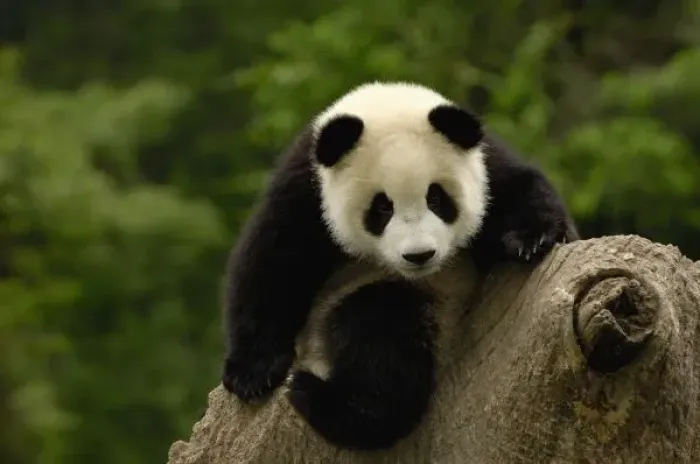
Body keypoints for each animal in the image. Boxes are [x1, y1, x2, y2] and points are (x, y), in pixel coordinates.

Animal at [221, 81, 578, 451]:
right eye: (382, 207)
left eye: (436, 198)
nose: (419, 255)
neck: (386, 102)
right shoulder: (305, 189)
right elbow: (271, 264)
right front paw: (253, 374)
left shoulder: (485, 166)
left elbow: (523, 188)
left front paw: (533, 239)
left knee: (382, 329)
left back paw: (321, 398)